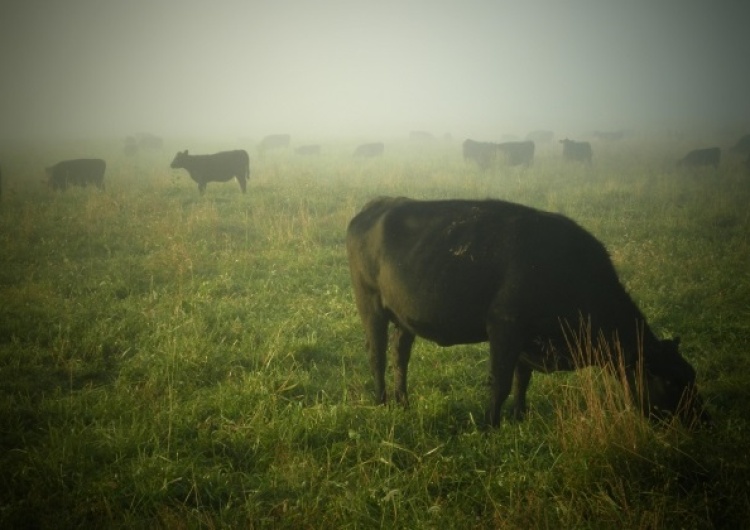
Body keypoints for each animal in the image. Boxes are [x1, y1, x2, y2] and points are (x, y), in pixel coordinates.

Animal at [346, 197, 712, 424]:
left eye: (692, 376)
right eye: (671, 381)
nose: (702, 421)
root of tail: (377, 204)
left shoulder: (526, 339)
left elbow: (522, 380)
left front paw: (519, 415)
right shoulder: (505, 327)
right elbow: (500, 382)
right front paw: (490, 425)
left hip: (403, 318)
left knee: (400, 355)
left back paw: (403, 401)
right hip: (371, 306)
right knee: (377, 355)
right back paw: (382, 401)